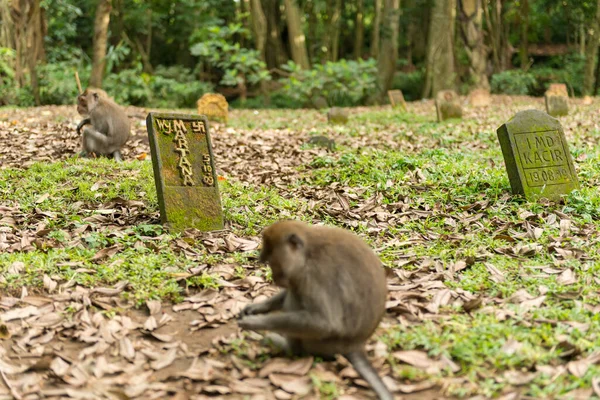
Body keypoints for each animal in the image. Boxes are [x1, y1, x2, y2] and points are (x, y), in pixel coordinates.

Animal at [239, 220, 394, 398]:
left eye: (272, 261)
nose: (274, 277)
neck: (308, 252)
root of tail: (355, 345)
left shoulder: (314, 275)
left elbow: (324, 323)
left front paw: (254, 322)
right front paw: (256, 308)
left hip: (322, 344)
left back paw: (288, 347)